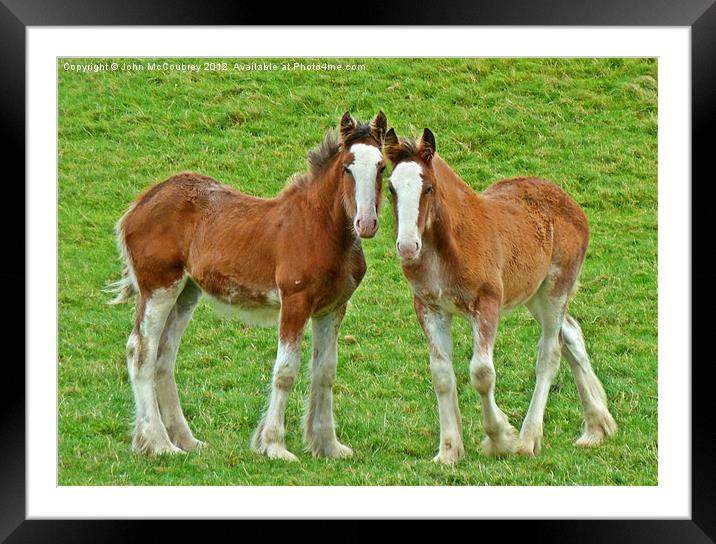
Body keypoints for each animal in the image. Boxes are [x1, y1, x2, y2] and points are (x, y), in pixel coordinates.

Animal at [107, 112, 386, 462]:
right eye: (348, 167)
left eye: (382, 166)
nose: (366, 223)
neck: (318, 228)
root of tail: (140, 203)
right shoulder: (294, 302)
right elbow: (286, 371)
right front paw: (274, 446)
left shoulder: (333, 308)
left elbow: (325, 371)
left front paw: (328, 445)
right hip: (159, 286)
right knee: (140, 351)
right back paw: (158, 443)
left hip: (186, 292)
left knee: (164, 355)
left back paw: (185, 440)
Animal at [386, 126, 616, 464]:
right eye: (391, 188)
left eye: (427, 188)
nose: (407, 246)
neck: (448, 247)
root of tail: (571, 204)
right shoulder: (430, 307)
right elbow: (441, 375)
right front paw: (449, 451)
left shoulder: (486, 304)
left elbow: (481, 373)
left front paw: (499, 438)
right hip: (534, 295)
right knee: (572, 333)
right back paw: (597, 426)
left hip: (554, 291)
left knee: (550, 352)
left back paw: (528, 438)